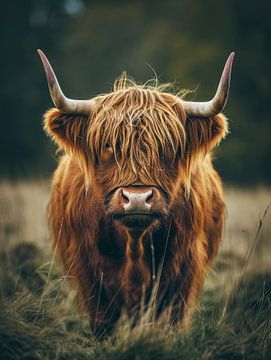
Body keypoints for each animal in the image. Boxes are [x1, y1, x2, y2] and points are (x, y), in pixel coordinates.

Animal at [38, 49, 236, 336]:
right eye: (108, 145)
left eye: (167, 147)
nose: (138, 199)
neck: (135, 245)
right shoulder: (88, 271)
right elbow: (103, 324)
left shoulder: (185, 270)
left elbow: (171, 321)